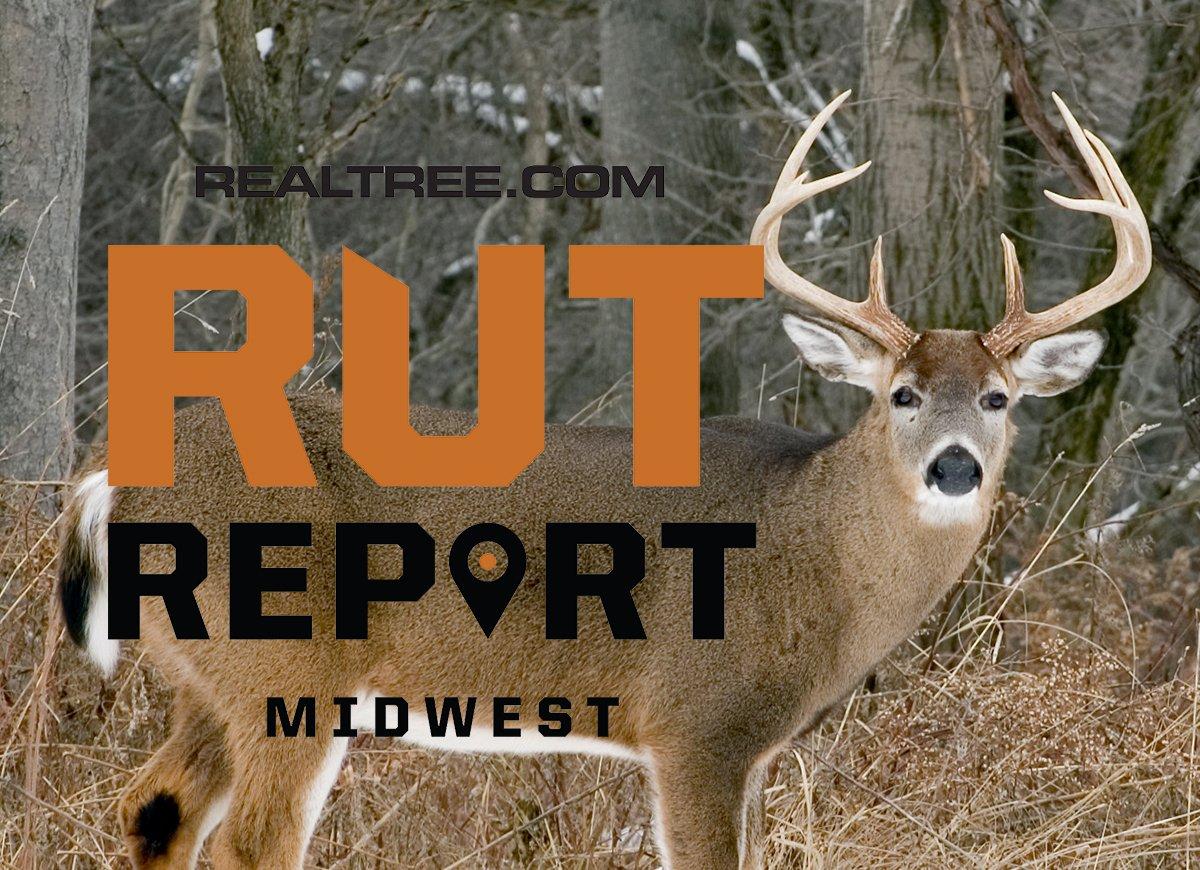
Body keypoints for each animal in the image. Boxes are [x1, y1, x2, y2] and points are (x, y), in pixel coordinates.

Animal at [58, 90, 1150, 869]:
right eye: (904, 394)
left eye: (1000, 397)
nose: (954, 465)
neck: (815, 553)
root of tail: (113, 480)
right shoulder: (699, 725)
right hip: (286, 665)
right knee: (251, 840)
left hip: (208, 677)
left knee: (152, 810)